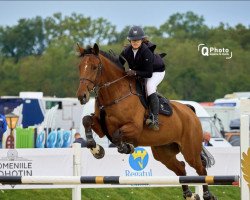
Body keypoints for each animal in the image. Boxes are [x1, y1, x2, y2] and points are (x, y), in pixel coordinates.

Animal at [76, 43, 217, 200]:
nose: (82, 96)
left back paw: (207, 195)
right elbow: (86, 120)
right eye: (80, 67)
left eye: (94, 67)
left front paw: (127, 147)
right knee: (181, 168)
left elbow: (118, 136)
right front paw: (96, 150)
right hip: (164, 152)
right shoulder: (102, 128)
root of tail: (190, 111)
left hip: (190, 150)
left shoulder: (134, 128)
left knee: (201, 169)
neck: (116, 94)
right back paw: (189, 195)